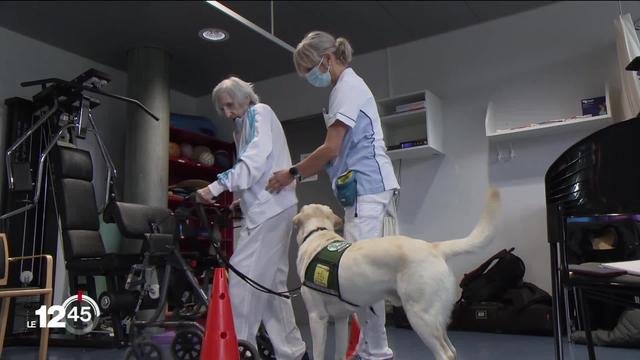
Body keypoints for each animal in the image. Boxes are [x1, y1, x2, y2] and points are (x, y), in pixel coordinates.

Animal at [296, 188, 500, 360]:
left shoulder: (317, 317)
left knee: (445, 354)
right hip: (436, 319)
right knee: (453, 350)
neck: (318, 234)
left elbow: (318, 353)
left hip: (420, 316)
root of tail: (433, 247)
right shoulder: (340, 319)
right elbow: (338, 353)